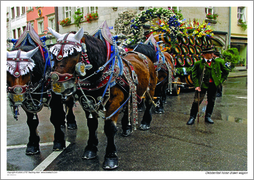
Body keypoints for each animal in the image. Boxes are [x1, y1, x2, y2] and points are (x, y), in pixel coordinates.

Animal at [46, 20, 156, 169]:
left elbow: (109, 127)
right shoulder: (87, 101)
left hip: (151, 87)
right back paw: (127, 128)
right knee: (128, 106)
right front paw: (91, 148)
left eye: (73, 54)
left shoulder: (115, 100)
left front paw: (111, 156)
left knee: (149, 103)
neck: (98, 75)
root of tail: (139, 54)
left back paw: (145, 123)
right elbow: (92, 125)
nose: (57, 83)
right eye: (53, 54)